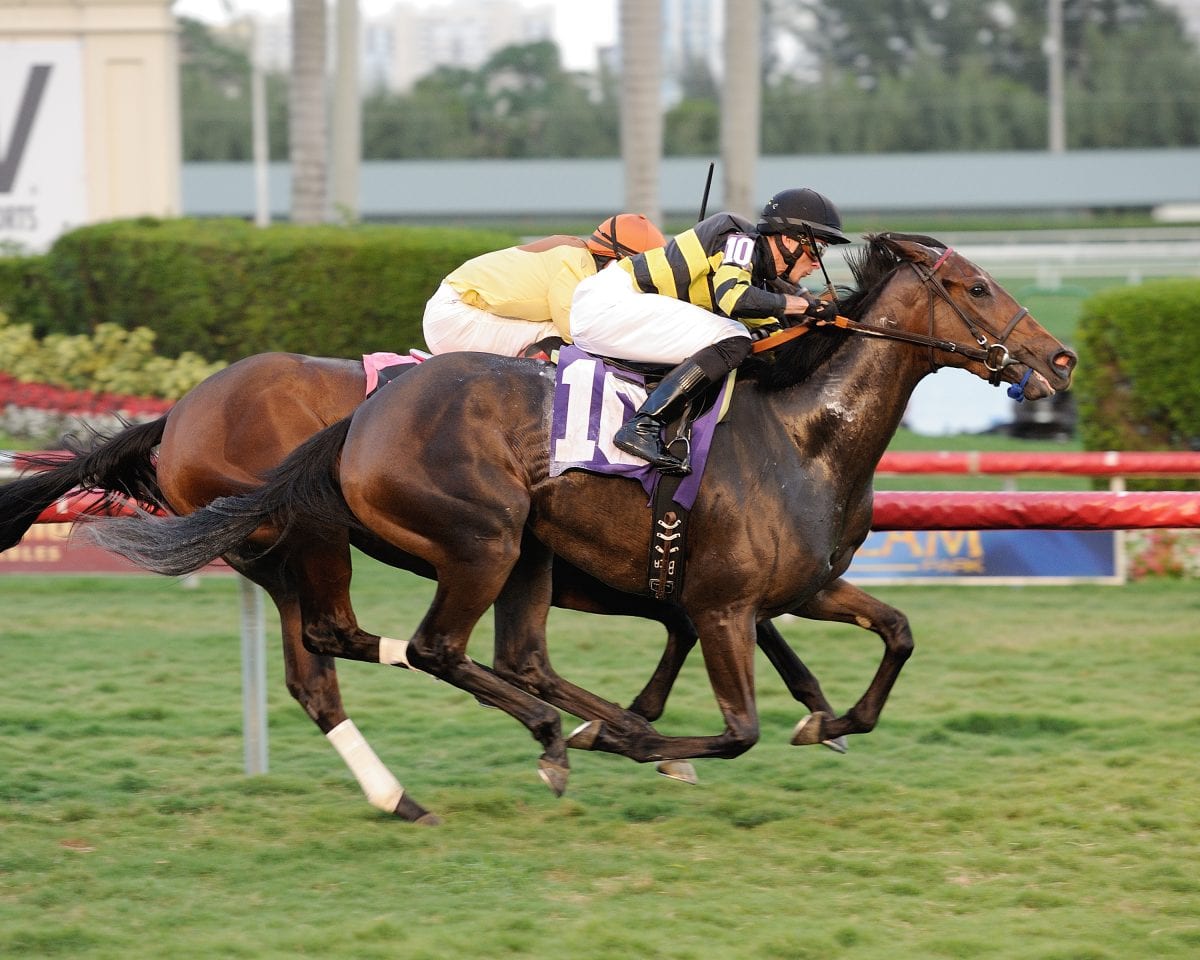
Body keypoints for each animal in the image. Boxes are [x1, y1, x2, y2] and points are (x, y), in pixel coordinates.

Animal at [0, 355, 844, 820]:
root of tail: (177, 415)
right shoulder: (609, 562)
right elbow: (719, 619)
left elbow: (720, 620)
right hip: (311, 534)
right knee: (343, 637)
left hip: (272, 556)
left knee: (316, 674)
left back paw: (399, 796)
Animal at [87, 232, 1080, 816]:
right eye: (977, 287)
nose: (1060, 356)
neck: (805, 432)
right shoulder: (720, 600)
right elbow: (736, 720)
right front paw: (657, 739)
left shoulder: (799, 584)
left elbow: (896, 631)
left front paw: (827, 719)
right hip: (440, 540)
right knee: (405, 648)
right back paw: (541, 742)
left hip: (477, 552)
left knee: (420, 662)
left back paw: (446, 774)